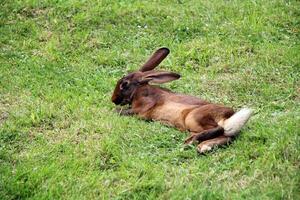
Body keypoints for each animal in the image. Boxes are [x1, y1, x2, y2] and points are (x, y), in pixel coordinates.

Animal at [111, 47, 252, 153]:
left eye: (124, 84)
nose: (113, 99)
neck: (138, 90)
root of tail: (228, 116)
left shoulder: (142, 108)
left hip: (194, 117)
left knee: (219, 129)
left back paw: (191, 142)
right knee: (226, 137)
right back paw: (203, 146)